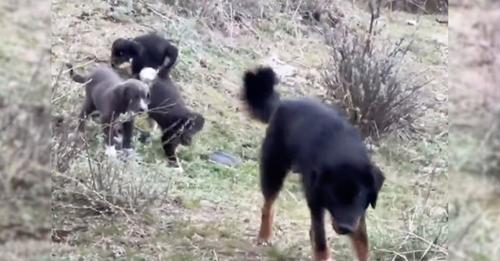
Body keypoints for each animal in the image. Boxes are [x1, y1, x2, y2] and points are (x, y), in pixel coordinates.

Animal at [244, 66, 384, 260]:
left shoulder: (358, 213)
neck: (344, 151)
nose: (345, 228)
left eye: (358, 195)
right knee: (268, 206)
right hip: (273, 170)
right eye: (334, 195)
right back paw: (264, 235)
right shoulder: (316, 202)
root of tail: (283, 103)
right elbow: (320, 241)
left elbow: (362, 244)